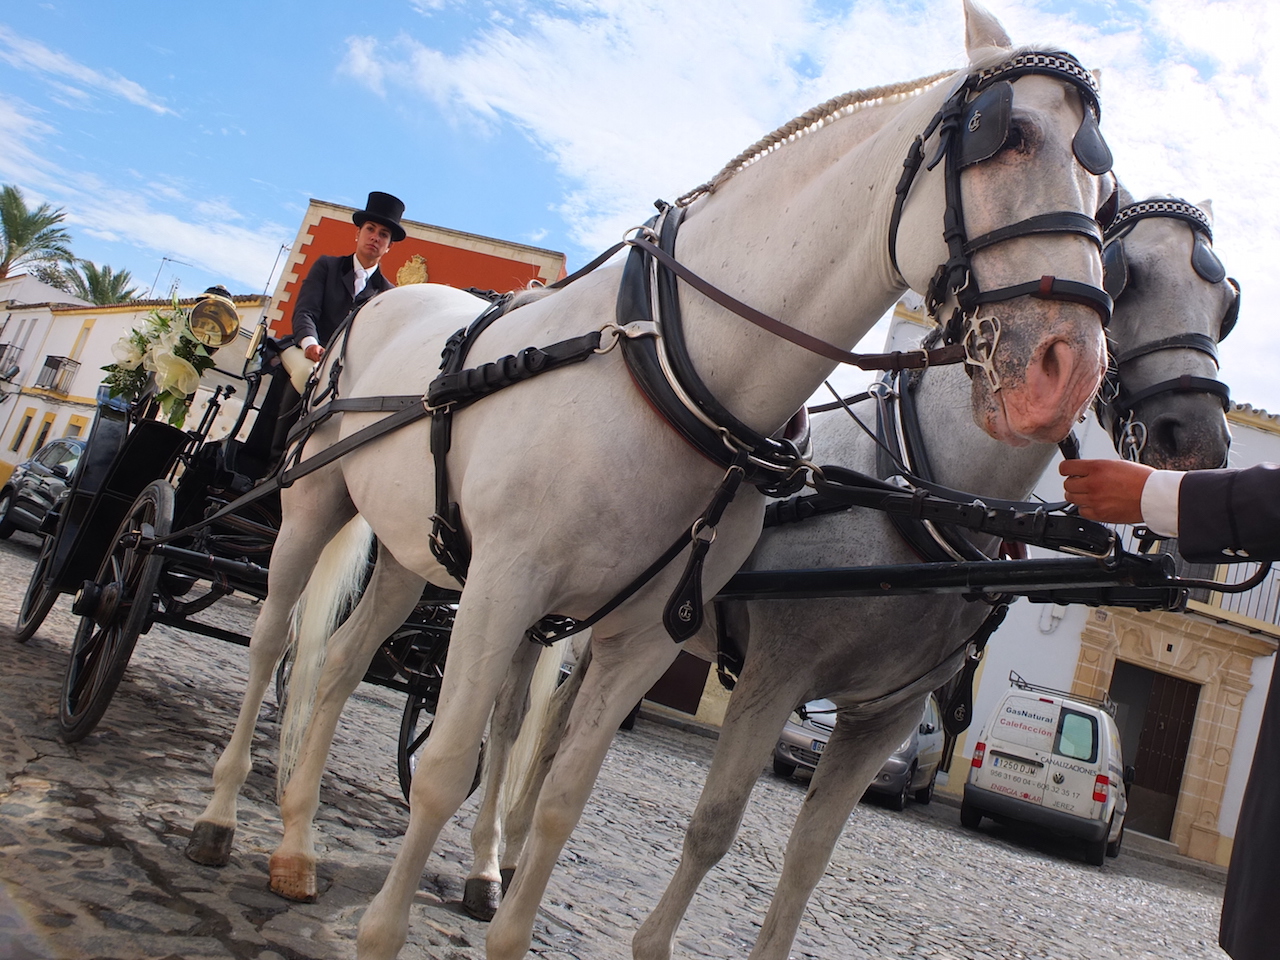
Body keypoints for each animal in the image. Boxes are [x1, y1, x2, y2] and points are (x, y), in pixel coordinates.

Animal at [185, 3, 1116, 957]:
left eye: (1104, 188)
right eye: (1004, 137)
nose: (1070, 372)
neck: (665, 364)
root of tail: (387, 300)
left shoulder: (647, 638)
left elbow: (562, 799)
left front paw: (506, 915)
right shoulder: (514, 589)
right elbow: (447, 767)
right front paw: (383, 931)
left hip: (418, 552)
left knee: (340, 663)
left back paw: (297, 844)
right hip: (314, 505)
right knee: (273, 641)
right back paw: (221, 816)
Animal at [629, 189, 1239, 960]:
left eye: (1225, 304)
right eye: (1123, 276)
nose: (1199, 443)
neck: (917, 489)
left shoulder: (885, 716)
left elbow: (807, 860)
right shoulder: (772, 678)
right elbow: (714, 825)